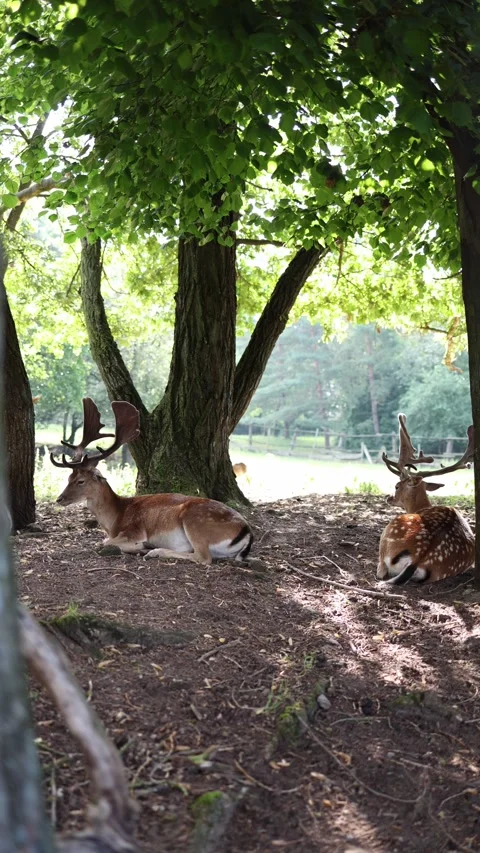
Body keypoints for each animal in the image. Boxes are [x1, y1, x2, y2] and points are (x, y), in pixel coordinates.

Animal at [51, 398, 253, 564]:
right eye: (69, 477)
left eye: (81, 481)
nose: (59, 499)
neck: (116, 518)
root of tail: (247, 531)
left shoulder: (134, 530)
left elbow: (104, 541)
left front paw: (140, 546)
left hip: (196, 522)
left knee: (203, 557)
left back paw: (153, 551)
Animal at [377, 413, 475, 585]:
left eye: (397, 486)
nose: (388, 497)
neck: (420, 507)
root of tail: (417, 560)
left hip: (390, 530)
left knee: (381, 570)